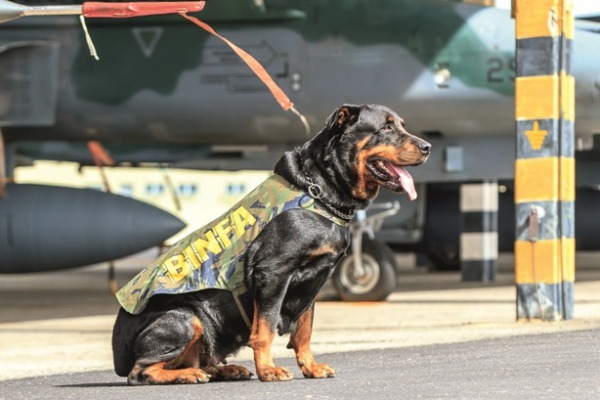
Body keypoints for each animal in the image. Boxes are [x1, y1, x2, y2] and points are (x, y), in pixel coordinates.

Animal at [111, 103, 432, 384]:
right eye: (385, 127)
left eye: (402, 124)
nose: (427, 147)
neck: (319, 192)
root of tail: (117, 352)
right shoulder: (274, 272)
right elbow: (264, 329)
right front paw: (268, 370)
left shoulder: (313, 280)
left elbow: (304, 329)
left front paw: (311, 367)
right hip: (186, 317)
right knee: (141, 372)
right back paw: (187, 375)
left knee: (199, 360)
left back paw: (222, 370)